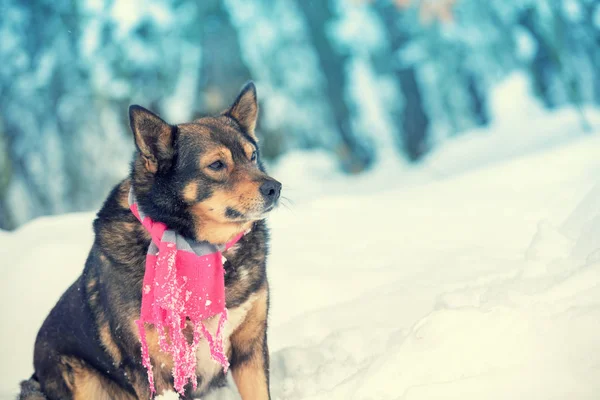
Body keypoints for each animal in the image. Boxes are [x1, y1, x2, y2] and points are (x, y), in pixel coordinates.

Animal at [18, 82, 280, 400]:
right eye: (217, 164)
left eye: (252, 156)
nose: (275, 188)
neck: (197, 246)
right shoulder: (155, 369)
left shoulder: (249, 349)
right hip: (81, 380)